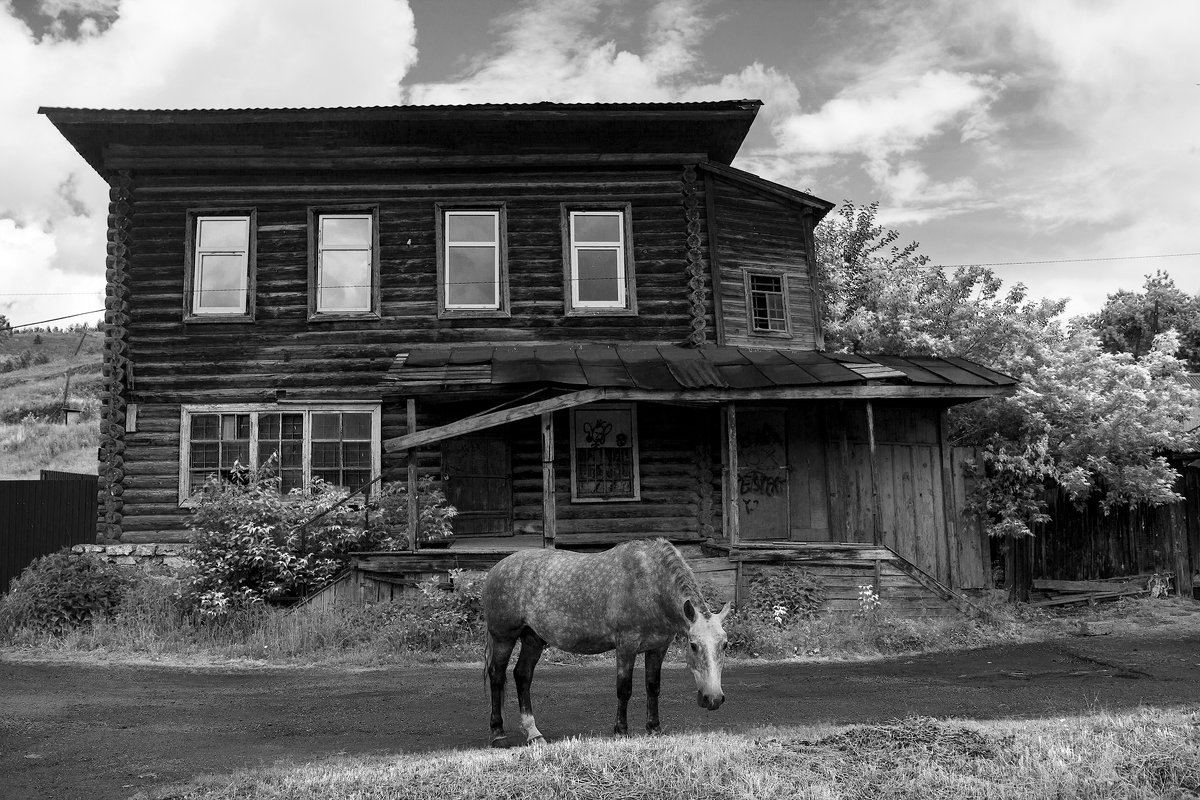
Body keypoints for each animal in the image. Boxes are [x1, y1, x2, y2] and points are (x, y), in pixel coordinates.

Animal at [480, 537, 729, 743]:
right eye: (694, 645)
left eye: (724, 645)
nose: (713, 699)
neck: (651, 584)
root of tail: (496, 569)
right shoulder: (626, 645)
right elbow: (624, 689)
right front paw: (621, 730)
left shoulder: (658, 647)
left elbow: (653, 687)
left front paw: (654, 728)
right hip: (503, 637)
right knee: (497, 676)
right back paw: (498, 733)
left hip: (533, 639)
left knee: (522, 676)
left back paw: (533, 733)